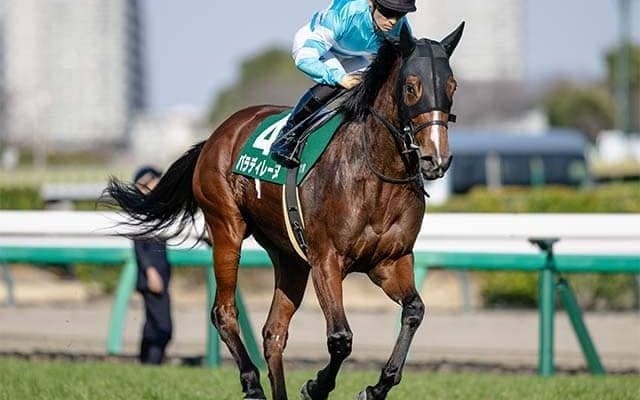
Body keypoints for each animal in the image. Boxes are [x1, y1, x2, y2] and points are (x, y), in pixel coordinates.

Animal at [107, 22, 463, 400]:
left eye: (452, 87)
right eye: (412, 86)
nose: (436, 159)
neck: (376, 173)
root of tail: (215, 136)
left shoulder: (390, 261)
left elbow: (414, 310)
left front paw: (377, 386)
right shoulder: (326, 260)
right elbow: (340, 338)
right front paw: (316, 386)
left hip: (290, 257)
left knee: (273, 332)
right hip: (227, 228)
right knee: (224, 312)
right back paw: (251, 383)